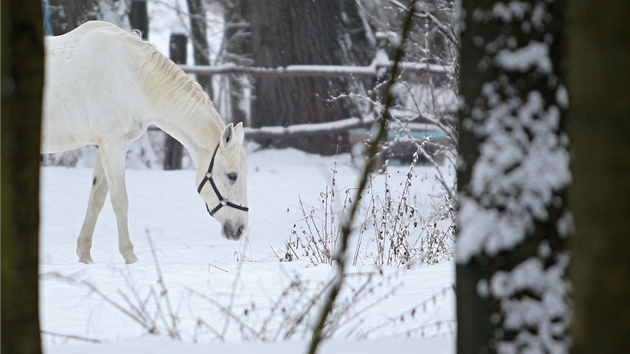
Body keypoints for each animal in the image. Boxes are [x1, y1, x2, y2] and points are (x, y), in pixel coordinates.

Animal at [41, 19, 249, 262]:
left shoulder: (107, 145)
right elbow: (120, 200)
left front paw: (85, 258)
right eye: (232, 175)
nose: (240, 229)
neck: (130, 77)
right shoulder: (113, 143)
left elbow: (97, 198)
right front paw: (130, 258)